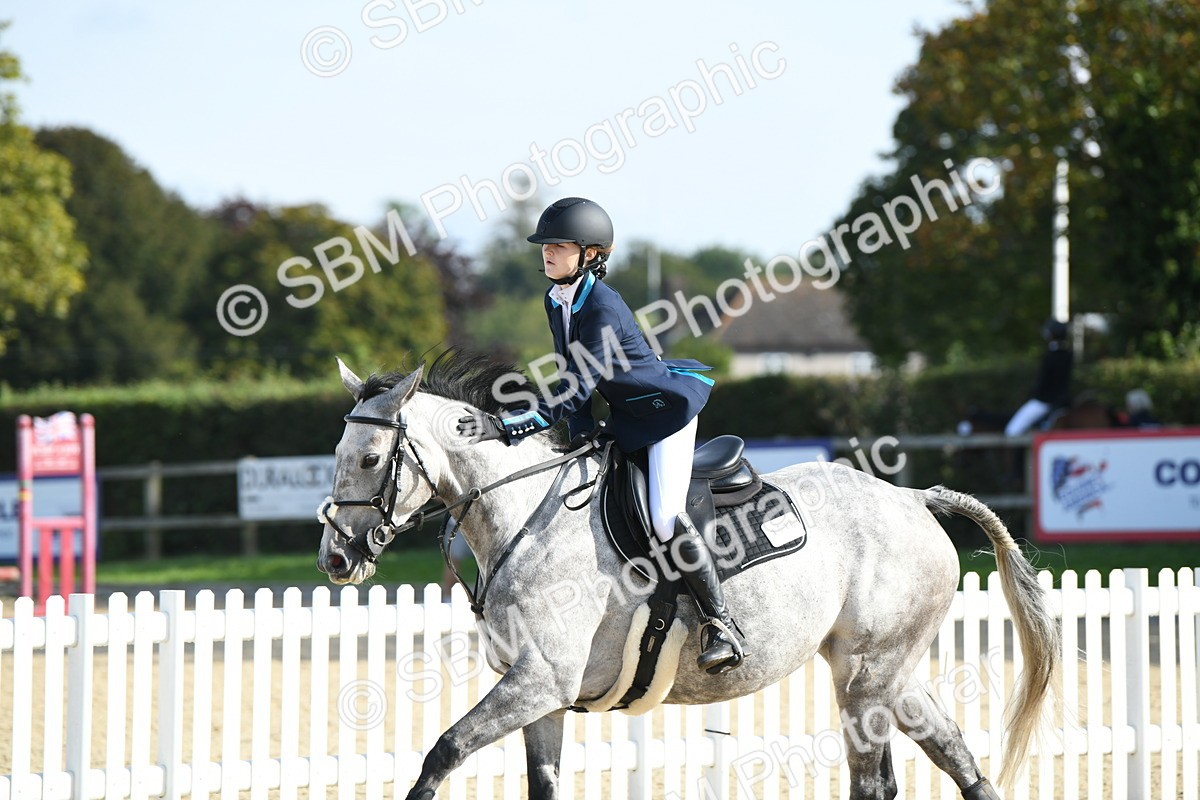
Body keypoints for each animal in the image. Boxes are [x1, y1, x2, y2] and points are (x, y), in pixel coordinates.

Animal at [316, 352, 1060, 800]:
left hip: (865, 677)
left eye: (371, 458)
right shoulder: (542, 697)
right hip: (888, 673)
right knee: (956, 757)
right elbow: (539, 784)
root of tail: (912, 498)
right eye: (337, 454)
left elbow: (442, 753)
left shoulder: (539, 681)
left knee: (874, 781)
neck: (522, 512)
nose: (336, 559)